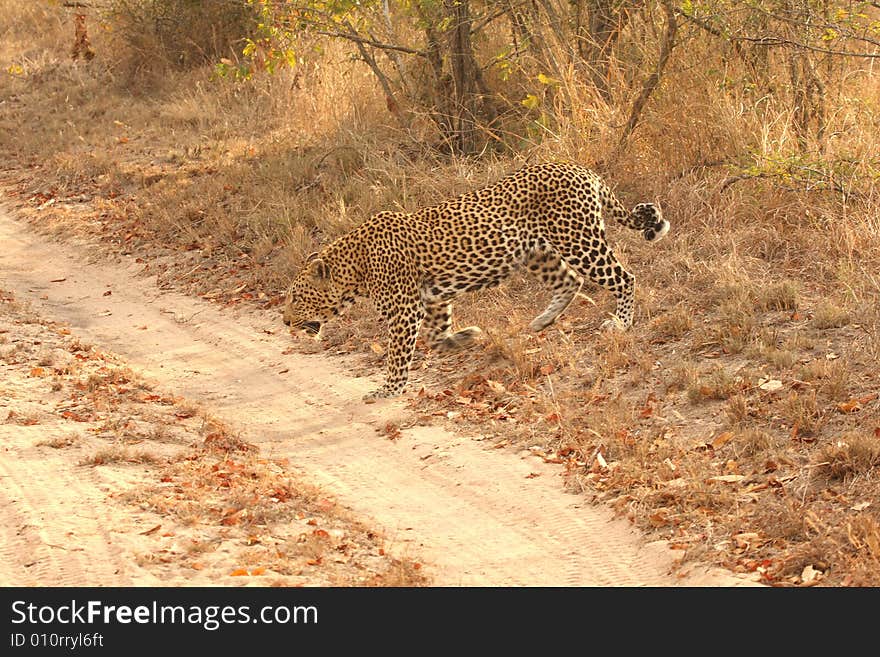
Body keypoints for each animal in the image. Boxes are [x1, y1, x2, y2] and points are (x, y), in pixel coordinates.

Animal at [282, 161, 668, 402]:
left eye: (296, 298)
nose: (284, 321)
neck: (355, 267)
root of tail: (582, 169)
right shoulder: (432, 298)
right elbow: (436, 336)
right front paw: (465, 338)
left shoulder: (405, 310)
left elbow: (398, 354)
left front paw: (388, 390)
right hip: (536, 252)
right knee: (569, 281)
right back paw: (543, 320)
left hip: (579, 241)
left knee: (625, 277)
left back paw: (621, 323)